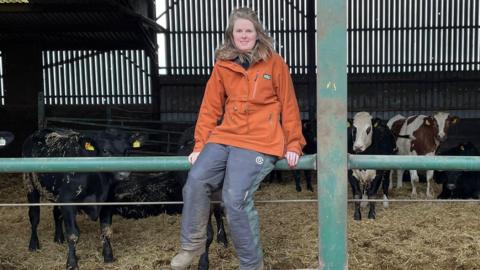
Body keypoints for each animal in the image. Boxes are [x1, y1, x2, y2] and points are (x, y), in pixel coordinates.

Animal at [23, 129, 142, 270]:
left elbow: (106, 230)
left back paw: (58, 238)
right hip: (30, 186)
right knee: (34, 216)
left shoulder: (108, 202)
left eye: (127, 151)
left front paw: (108, 256)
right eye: (105, 151)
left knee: (56, 213)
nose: (124, 174)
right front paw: (71, 263)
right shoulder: (68, 202)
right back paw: (33, 244)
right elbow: (73, 234)